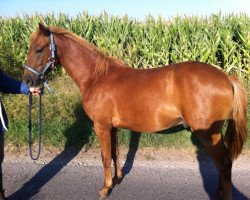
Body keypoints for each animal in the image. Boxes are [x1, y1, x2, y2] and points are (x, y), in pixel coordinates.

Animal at [23, 23, 246, 198]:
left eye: (39, 49)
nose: (27, 81)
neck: (97, 77)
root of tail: (227, 78)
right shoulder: (112, 127)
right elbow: (115, 153)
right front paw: (117, 179)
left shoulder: (101, 126)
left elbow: (105, 157)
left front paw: (105, 189)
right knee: (222, 164)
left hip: (208, 133)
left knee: (225, 162)